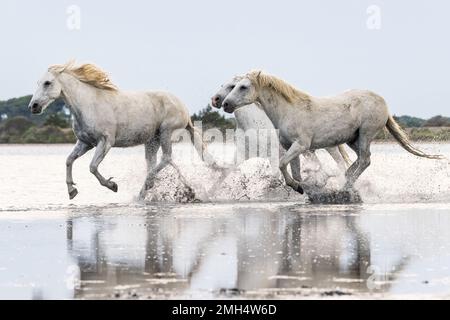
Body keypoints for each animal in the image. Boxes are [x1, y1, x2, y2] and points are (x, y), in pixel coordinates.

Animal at [28, 61, 218, 199]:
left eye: (47, 83)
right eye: (37, 82)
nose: (33, 106)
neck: (88, 105)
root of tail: (184, 110)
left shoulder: (105, 141)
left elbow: (92, 167)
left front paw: (112, 186)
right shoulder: (85, 143)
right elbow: (68, 161)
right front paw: (71, 191)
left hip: (166, 133)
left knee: (166, 158)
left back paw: (147, 189)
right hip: (152, 140)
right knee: (160, 162)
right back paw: (177, 190)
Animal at [221, 71, 442, 194]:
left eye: (243, 86)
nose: (224, 104)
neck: (289, 110)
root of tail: (383, 104)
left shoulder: (301, 145)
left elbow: (283, 164)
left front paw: (304, 187)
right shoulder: (291, 147)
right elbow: (295, 171)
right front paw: (302, 187)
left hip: (366, 134)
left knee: (365, 160)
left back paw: (344, 189)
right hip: (352, 139)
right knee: (358, 161)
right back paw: (344, 180)